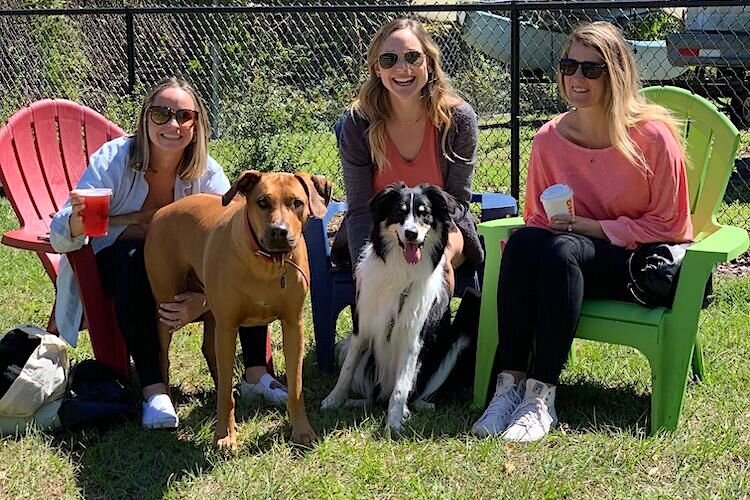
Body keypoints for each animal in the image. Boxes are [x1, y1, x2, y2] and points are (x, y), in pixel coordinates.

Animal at [145, 171, 332, 450]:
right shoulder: (228, 326)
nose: (279, 231)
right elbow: (224, 395)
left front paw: (302, 431)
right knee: (164, 355)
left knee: (209, 350)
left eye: (297, 203)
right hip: (167, 305)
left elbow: (296, 387)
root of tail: (163, 209)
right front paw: (224, 436)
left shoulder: (293, 325)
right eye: (262, 202)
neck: (267, 262)